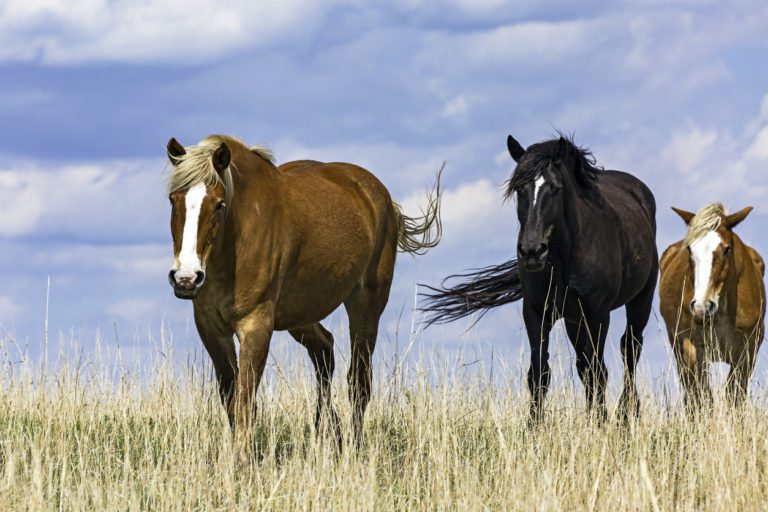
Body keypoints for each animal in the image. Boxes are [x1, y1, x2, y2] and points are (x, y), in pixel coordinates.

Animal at [165, 134, 443, 443]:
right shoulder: (211, 328)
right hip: (300, 314)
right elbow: (231, 400)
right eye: (173, 199)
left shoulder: (256, 324)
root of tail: (379, 195)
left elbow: (245, 403)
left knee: (359, 382)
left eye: (218, 204)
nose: (187, 278)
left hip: (366, 305)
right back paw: (328, 432)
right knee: (324, 350)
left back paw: (353, 445)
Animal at [421, 134, 658, 422]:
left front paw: (600, 423)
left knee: (629, 350)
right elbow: (539, 373)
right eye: (518, 189)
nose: (532, 251)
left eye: (556, 188)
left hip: (640, 300)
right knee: (586, 364)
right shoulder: (537, 311)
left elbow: (598, 370)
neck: (566, 258)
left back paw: (626, 414)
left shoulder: (598, 313)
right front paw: (534, 425)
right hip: (574, 320)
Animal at [659, 203, 765, 408]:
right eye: (690, 249)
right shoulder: (692, 350)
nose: (701, 308)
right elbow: (702, 398)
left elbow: (734, 396)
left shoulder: (747, 352)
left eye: (727, 249)